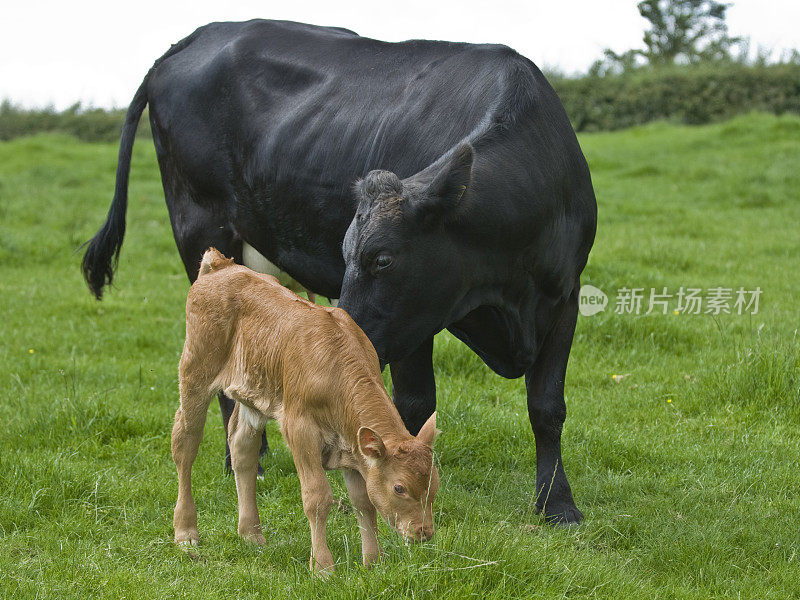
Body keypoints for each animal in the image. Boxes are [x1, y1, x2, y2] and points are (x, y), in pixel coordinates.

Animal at [83, 19, 592, 524]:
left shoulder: (564, 298)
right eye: (348, 256)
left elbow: (547, 405)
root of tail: (195, 38)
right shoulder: (415, 321)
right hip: (201, 233)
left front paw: (557, 503)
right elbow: (414, 404)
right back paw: (241, 464)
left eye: (382, 259)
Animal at [171, 247, 440, 572]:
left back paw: (251, 534)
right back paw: (186, 532)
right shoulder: (300, 429)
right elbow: (317, 497)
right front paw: (323, 567)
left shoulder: (351, 447)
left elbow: (363, 502)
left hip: (254, 393)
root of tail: (222, 266)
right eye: (399, 488)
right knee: (185, 443)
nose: (424, 532)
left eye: (434, 483)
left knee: (242, 448)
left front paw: (373, 562)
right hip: (195, 370)